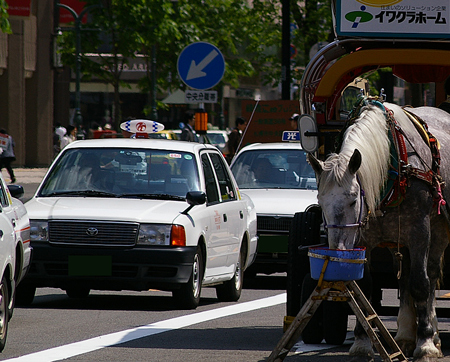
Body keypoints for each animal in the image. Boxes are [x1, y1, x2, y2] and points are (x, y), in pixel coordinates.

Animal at [308, 97, 450, 362]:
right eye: (320, 201)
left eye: (353, 199)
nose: (337, 250)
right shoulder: (364, 237)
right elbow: (363, 289)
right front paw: (362, 343)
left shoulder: (419, 230)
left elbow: (421, 284)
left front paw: (425, 344)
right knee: (404, 278)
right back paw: (404, 336)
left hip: (438, 229)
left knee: (430, 274)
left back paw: (432, 336)